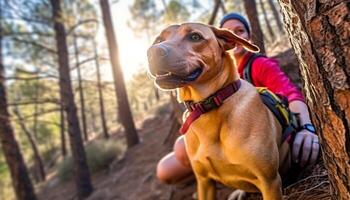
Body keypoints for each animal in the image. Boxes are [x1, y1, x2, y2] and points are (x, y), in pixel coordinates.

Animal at [147, 23, 290, 198]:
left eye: (195, 37)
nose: (153, 52)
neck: (206, 106)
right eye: (159, 40)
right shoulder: (204, 182)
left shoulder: (270, 181)